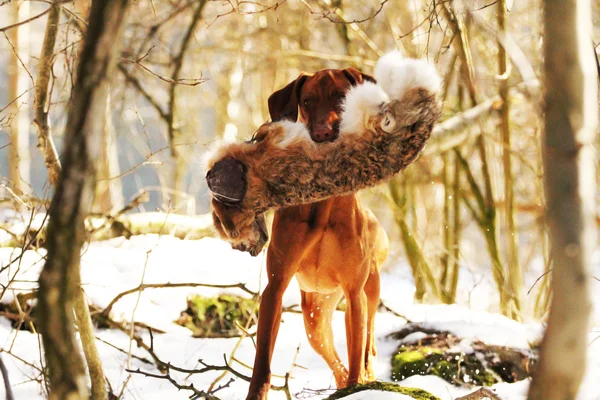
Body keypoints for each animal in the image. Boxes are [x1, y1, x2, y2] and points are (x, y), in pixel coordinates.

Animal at [244, 67, 390, 398]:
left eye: (341, 96)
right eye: (308, 101)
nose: (323, 132)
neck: (323, 205)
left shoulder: (354, 291)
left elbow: (357, 353)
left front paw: (357, 386)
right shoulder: (276, 286)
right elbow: (262, 362)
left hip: (367, 294)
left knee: (366, 347)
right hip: (315, 316)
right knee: (336, 362)